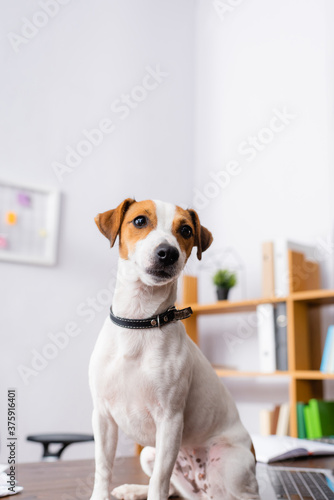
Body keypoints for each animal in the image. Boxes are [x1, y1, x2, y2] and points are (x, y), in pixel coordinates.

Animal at [88, 197, 258, 498]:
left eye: (186, 230)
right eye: (140, 220)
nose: (168, 253)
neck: (139, 322)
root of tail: (203, 492)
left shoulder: (170, 420)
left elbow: (159, 481)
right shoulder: (103, 417)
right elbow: (103, 468)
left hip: (231, 465)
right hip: (149, 454)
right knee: (174, 490)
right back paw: (132, 489)